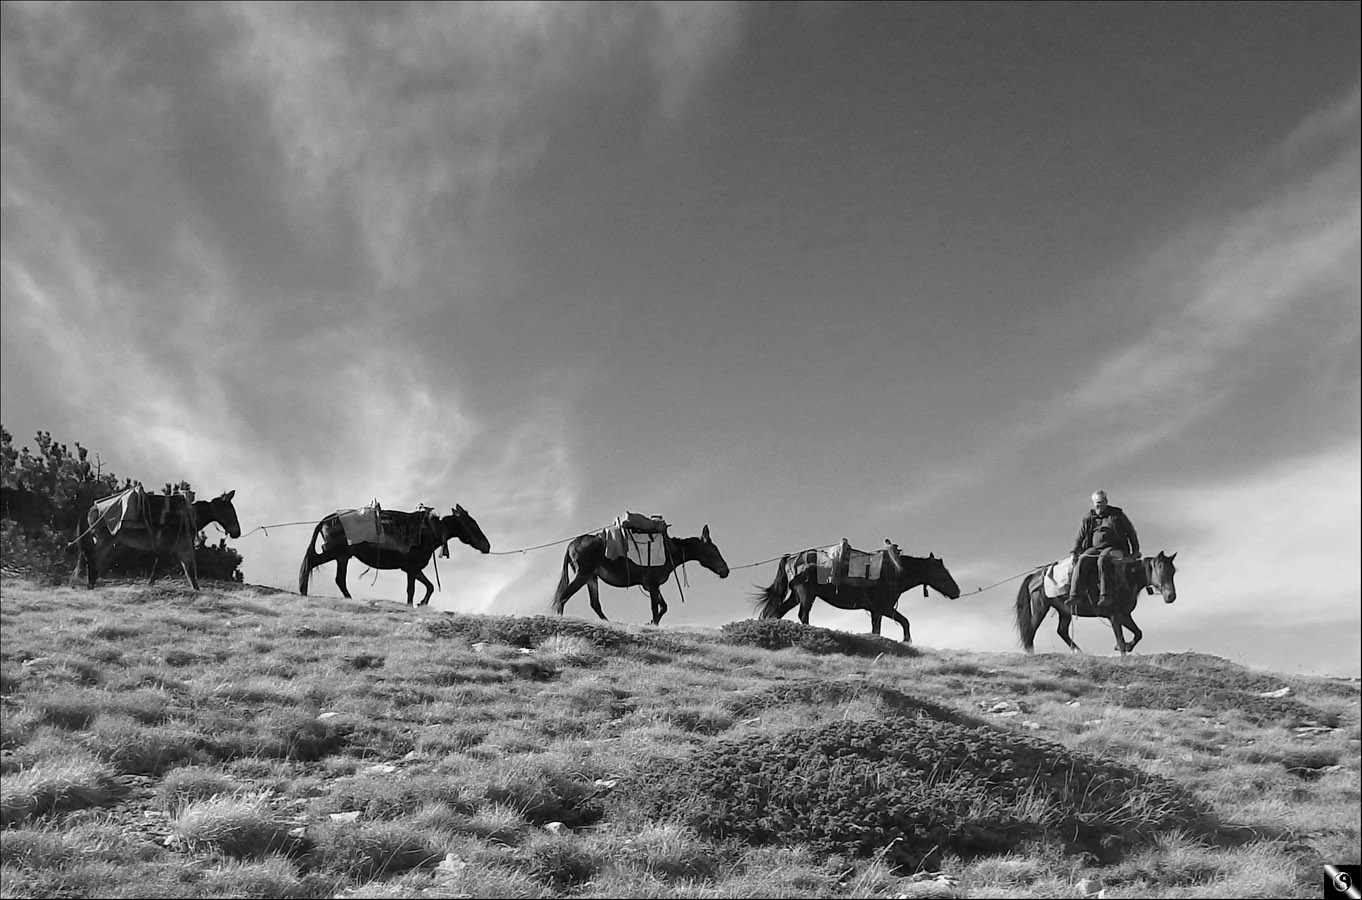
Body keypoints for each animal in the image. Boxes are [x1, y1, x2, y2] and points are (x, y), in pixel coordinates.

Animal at [296, 501, 490, 607]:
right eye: (472, 524)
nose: (487, 546)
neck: (429, 531)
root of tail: (327, 519)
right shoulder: (413, 568)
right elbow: (424, 588)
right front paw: (420, 603)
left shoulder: (411, 570)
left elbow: (420, 588)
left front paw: (416, 603)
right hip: (335, 552)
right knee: (311, 562)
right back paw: (303, 592)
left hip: (342, 557)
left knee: (339, 579)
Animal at [547, 525, 730, 623]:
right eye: (714, 550)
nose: (726, 571)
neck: (670, 550)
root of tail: (572, 543)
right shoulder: (653, 585)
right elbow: (656, 608)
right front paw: (653, 624)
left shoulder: (650, 586)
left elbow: (663, 607)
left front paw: (650, 623)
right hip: (584, 574)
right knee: (564, 596)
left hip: (591, 577)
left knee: (595, 603)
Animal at [751, 550, 964, 642]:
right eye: (942, 573)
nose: (957, 591)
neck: (893, 572)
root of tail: (793, 557)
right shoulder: (882, 608)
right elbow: (903, 622)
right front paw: (907, 640)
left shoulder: (879, 611)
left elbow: (881, 628)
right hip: (806, 594)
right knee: (803, 615)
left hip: (796, 596)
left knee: (779, 611)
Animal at [1018, 547, 1176, 653]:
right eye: (1160, 568)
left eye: (1173, 571)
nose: (1171, 596)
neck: (1126, 577)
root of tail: (1035, 576)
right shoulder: (1115, 616)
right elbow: (1121, 639)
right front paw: (1123, 649)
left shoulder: (1125, 615)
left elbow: (1138, 633)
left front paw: (1127, 646)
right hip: (1040, 608)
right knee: (1031, 629)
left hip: (1064, 611)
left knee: (1061, 631)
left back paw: (1079, 652)